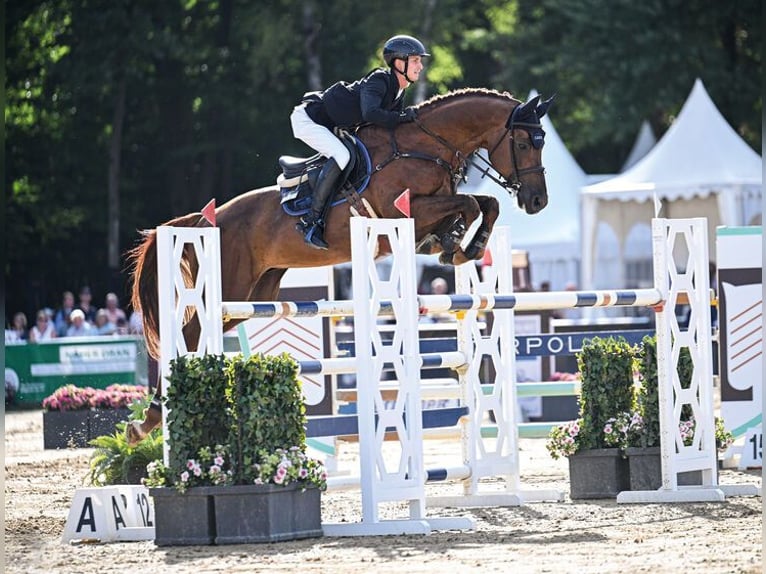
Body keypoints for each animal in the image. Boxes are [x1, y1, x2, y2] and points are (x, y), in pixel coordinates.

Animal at [126, 87, 553, 445]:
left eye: (542, 144)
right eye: (522, 143)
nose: (537, 202)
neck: (426, 145)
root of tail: (204, 220)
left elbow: (485, 204)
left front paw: (461, 245)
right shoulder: (402, 211)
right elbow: (468, 203)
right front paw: (457, 245)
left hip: (250, 298)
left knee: (198, 331)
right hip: (228, 288)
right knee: (190, 332)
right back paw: (149, 420)